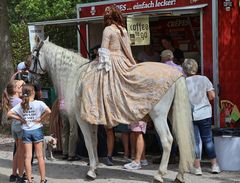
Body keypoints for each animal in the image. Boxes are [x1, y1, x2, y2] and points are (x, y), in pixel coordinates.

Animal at [30, 39, 195, 183]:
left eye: (33, 55)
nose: (30, 78)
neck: (77, 76)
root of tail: (176, 74)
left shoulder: (82, 119)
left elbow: (89, 142)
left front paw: (91, 171)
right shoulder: (92, 120)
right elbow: (94, 141)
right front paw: (95, 167)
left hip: (159, 117)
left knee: (167, 141)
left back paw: (159, 175)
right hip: (172, 115)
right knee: (181, 139)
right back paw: (179, 176)